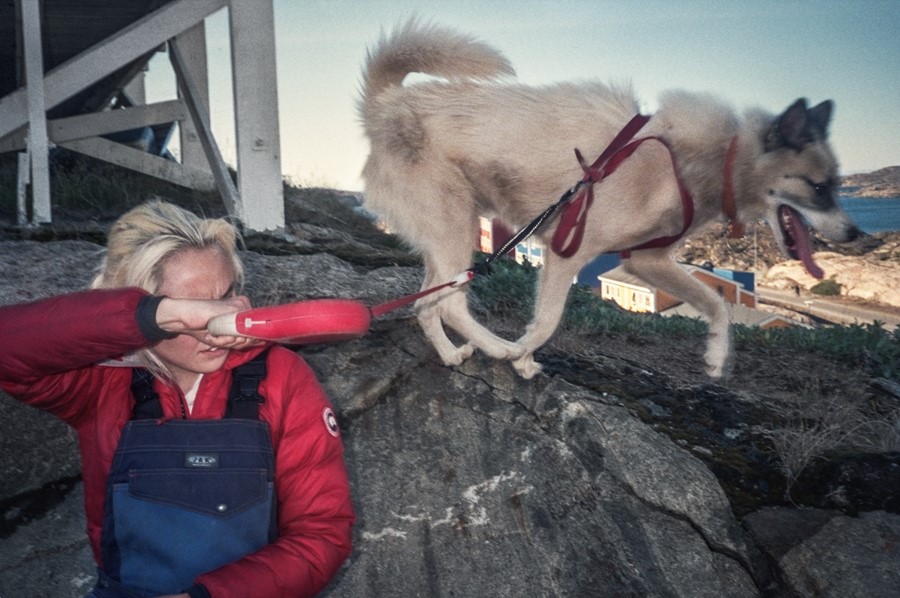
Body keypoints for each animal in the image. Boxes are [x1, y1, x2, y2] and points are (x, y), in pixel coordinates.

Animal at [356, 23, 856, 382]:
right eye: (820, 187)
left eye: (837, 183)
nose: (856, 235)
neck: (705, 158)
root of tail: (387, 104)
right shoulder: (567, 252)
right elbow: (546, 322)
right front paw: (522, 357)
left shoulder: (647, 261)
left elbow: (716, 303)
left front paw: (717, 355)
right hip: (456, 227)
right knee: (450, 304)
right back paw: (499, 347)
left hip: (446, 236)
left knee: (426, 303)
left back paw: (452, 355)